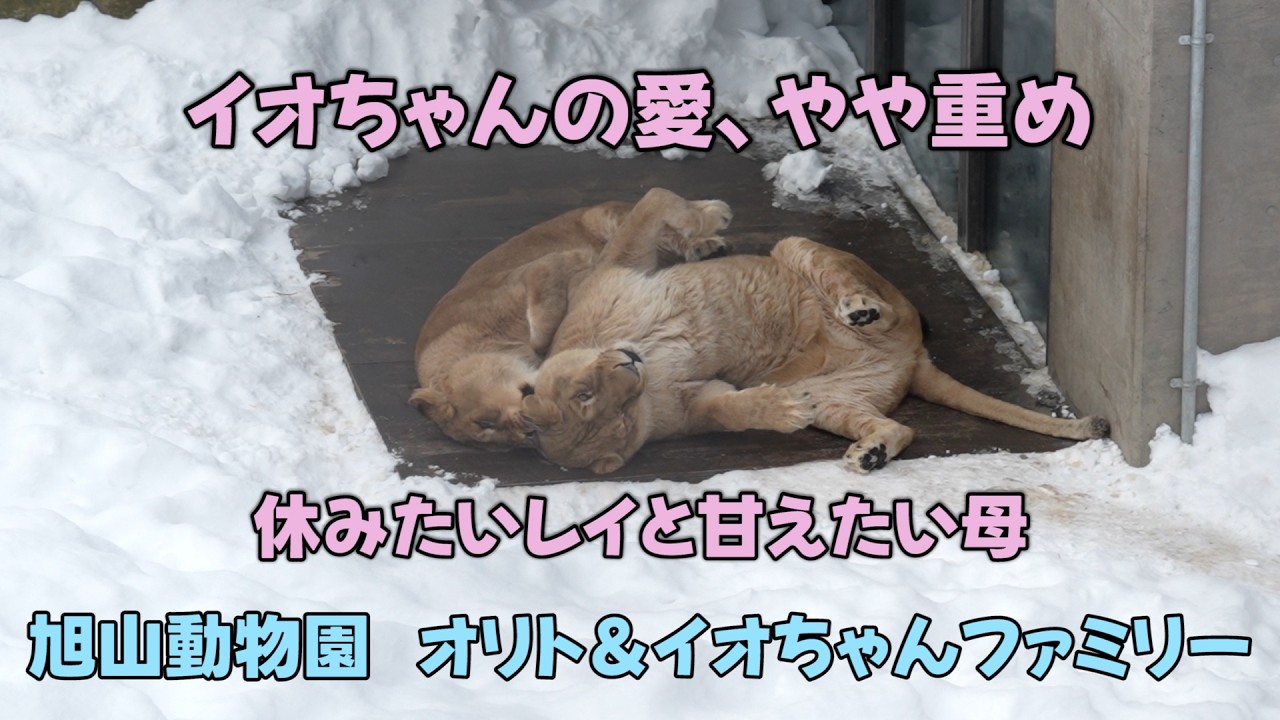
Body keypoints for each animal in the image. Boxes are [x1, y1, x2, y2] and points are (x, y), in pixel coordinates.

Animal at [410, 197, 731, 447]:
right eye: (497, 437)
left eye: (485, 422)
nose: (529, 432)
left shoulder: (546, 265)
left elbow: (543, 325)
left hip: (602, 217)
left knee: (668, 222)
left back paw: (712, 222)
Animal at [521, 189, 1109, 474]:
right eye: (613, 413)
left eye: (586, 393)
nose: (631, 365)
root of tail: (914, 359)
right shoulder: (695, 402)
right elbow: (730, 407)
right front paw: (780, 409)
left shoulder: (617, 268)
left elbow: (655, 197)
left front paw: (714, 214)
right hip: (833, 400)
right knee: (901, 428)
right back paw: (869, 454)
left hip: (799, 250)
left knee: (877, 303)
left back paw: (859, 312)